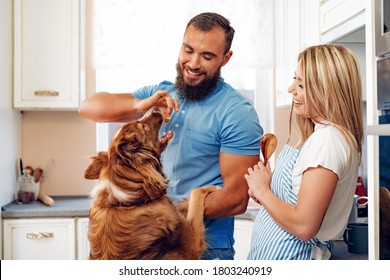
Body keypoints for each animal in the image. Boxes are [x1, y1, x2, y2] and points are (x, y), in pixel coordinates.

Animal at [84, 106, 216, 260]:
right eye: (142, 125)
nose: (155, 107)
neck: (129, 202)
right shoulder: (192, 244)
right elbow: (196, 194)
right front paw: (213, 186)